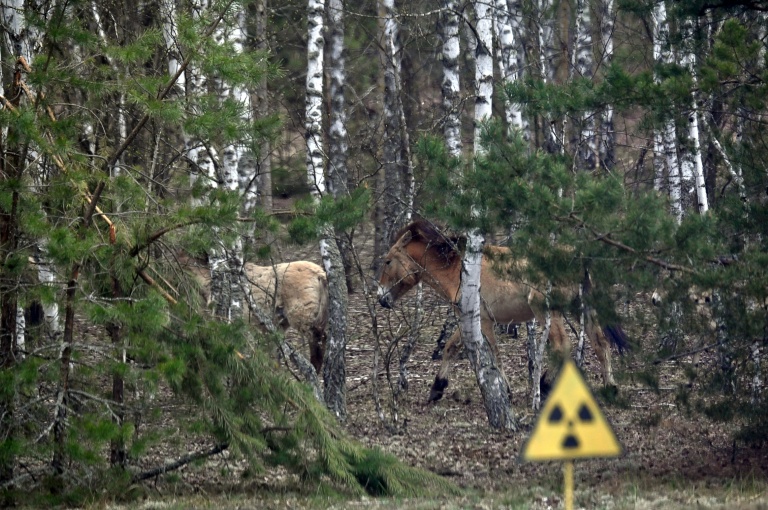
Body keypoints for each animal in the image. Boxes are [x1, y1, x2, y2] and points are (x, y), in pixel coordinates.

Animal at [180, 255, 329, 373]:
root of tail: (320, 274)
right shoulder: (275, 327)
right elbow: (274, 353)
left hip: (303, 315)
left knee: (318, 339)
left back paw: (314, 369)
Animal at [376, 219, 628, 402]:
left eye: (388, 261)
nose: (381, 298)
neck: (459, 268)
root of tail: (577, 256)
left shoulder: (484, 321)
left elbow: (494, 355)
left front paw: (505, 390)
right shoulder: (468, 319)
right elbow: (450, 347)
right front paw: (437, 388)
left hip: (547, 311)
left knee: (561, 345)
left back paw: (544, 385)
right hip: (582, 308)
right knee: (600, 343)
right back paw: (610, 387)